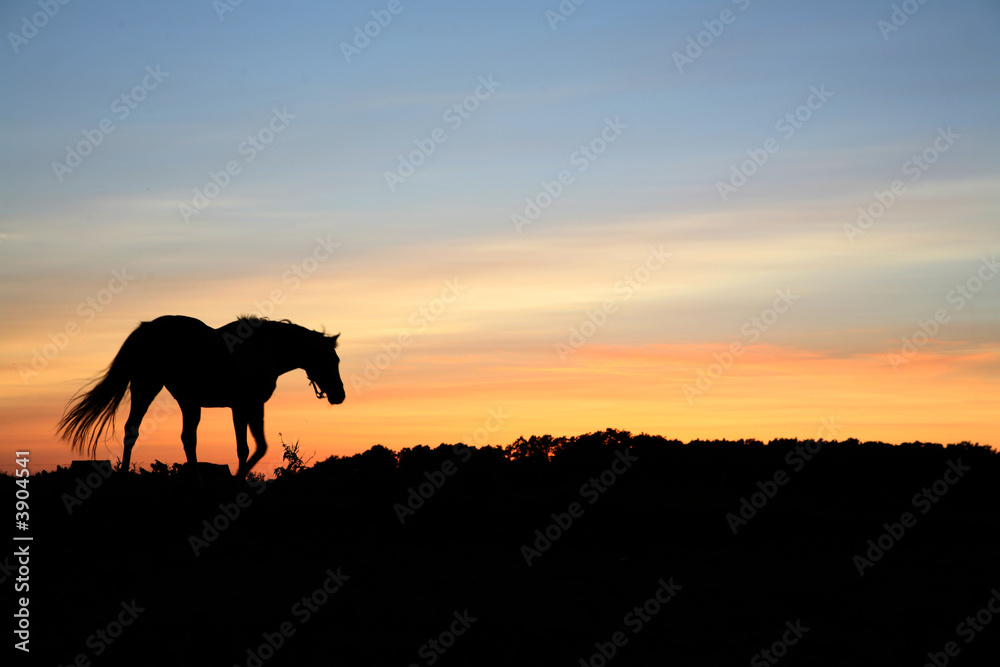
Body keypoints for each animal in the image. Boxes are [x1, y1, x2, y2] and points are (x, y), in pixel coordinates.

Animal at [57, 315, 345, 478]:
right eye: (330, 360)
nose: (339, 395)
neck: (264, 350)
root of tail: (147, 328)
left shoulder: (246, 407)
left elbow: (251, 447)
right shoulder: (245, 405)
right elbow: (251, 447)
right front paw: (238, 478)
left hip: (172, 396)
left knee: (151, 432)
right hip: (154, 388)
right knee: (164, 435)